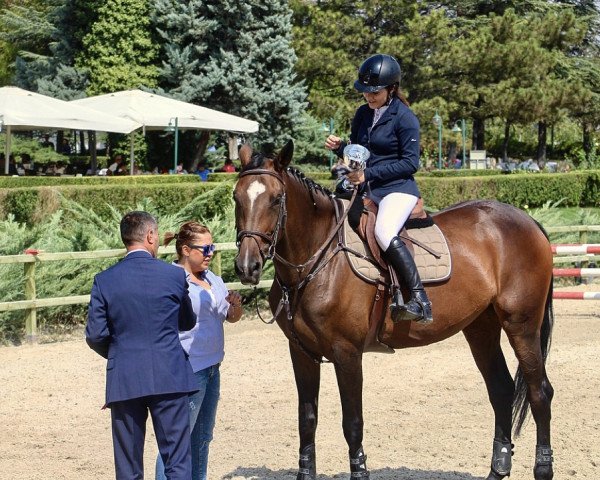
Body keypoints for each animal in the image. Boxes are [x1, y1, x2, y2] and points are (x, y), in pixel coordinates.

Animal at [232, 141, 556, 480]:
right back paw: (497, 469)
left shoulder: (347, 353)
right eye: (236, 198)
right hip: (482, 328)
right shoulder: (301, 352)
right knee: (501, 390)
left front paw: (360, 472)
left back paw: (543, 468)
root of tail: (527, 220)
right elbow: (307, 419)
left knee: (539, 393)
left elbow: (353, 423)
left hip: (521, 325)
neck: (317, 258)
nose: (247, 267)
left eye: (276, 199)